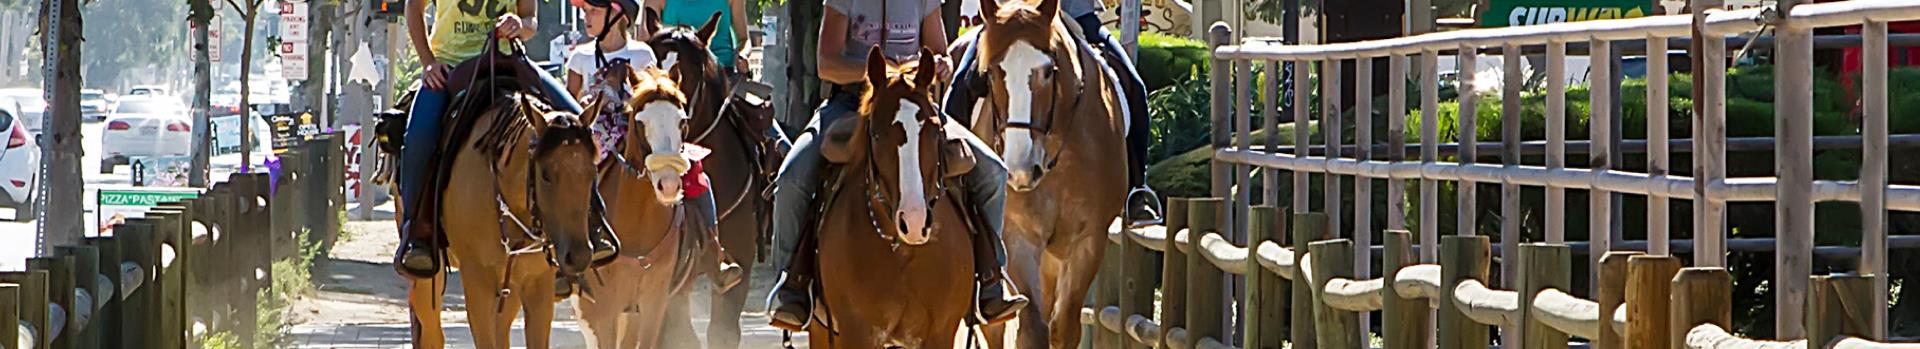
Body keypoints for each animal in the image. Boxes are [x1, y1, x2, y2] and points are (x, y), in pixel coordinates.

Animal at [393, 42, 595, 347]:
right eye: (545, 174)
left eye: (593, 171)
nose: (579, 256)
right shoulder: (478, 282)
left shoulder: (539, 283)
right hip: (428, 276)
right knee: (430, 330)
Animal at [798, 48, 975, 349]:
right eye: (876, 134)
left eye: (934, 130)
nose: (914, 223)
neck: (902, 252)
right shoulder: (856, 333)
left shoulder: (941, 333)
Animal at [956, 0, 1128, 347]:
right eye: (991, 72)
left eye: (1048, 71)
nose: (1020, 171)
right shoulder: (1019, 236)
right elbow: (1033, 328)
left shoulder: (1089, 239)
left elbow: (1063, 327)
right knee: (994, 328)